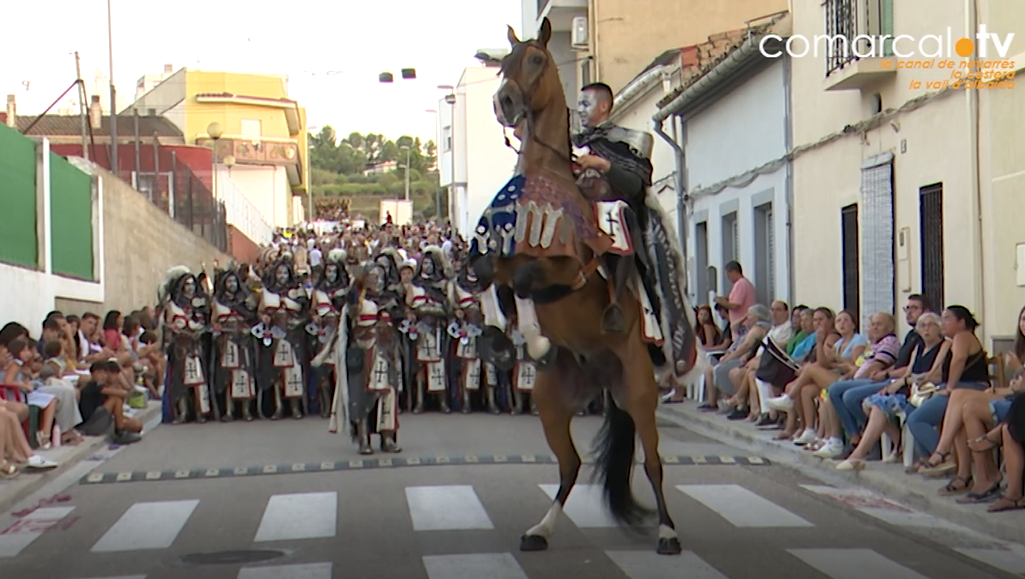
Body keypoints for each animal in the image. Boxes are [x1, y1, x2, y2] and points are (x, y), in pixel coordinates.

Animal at [473, 18, 705, 553]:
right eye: (503, 63)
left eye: (536, 60)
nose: (504, 103)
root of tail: (602, 375)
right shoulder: (499, 253)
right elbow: (489, 274)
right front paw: (500, 337)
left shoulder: (566, 267)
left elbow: (526, 279)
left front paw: (533, 337)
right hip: (551, 403)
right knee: (570, 466)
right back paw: (539, 529)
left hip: (639, 392)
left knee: (654, 465)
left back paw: (667, 532)